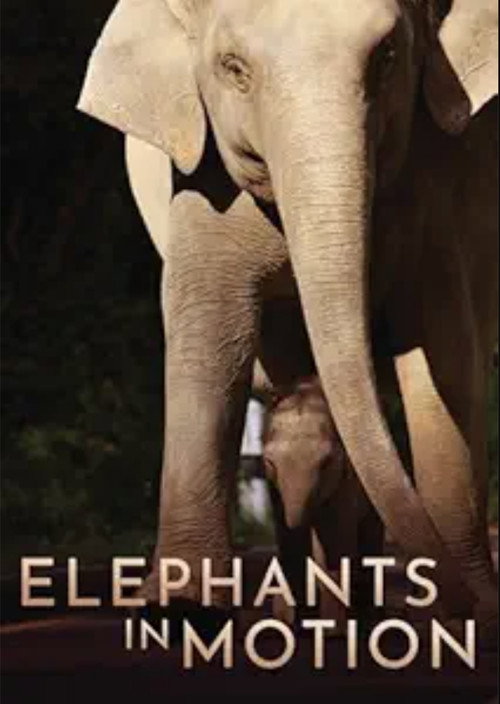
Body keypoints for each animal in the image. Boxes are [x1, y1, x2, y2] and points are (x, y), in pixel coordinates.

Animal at [78, 0, 499, 639]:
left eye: (388, 57)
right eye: (232, 68)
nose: (460, 601)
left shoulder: (453, 172)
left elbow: (446, 351)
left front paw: (464, 616)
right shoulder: (198, 173)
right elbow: (207, 328)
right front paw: (179, 610)